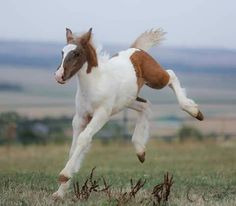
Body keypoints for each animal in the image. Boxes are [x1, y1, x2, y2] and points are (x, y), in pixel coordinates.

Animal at [52, 27, 204, 198]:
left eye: (77, 53)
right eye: (62, 52)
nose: (59, 76)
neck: (95, 84)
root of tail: (137, 49)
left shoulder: (101, 114)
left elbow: (83, 139)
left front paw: (64, 175)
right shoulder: (79, 118)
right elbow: (73, 148)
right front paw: (60, 192)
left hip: (155, 79)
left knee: (170, 75)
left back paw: (194, 111)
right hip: (129, 100)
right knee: (145, 106)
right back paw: (140, 150)